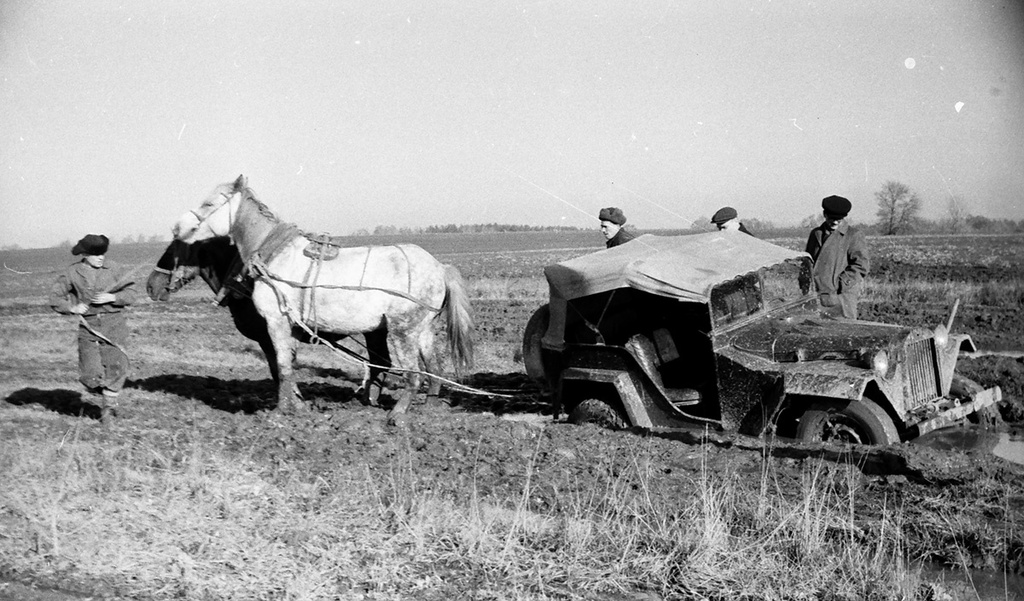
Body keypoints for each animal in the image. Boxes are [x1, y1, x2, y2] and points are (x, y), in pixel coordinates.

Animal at [173, 174, 475, 421]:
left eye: (209, 203)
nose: (178, 227)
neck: (274, 254)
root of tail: (438, 267)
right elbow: (287, 365)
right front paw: (295, 405)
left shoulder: (276, 321)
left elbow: (282, 366)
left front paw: (281, 411)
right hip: (424, 329)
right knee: (434, 369)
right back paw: (430, 406)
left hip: (403, 330)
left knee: (413, 375)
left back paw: (397, 415)